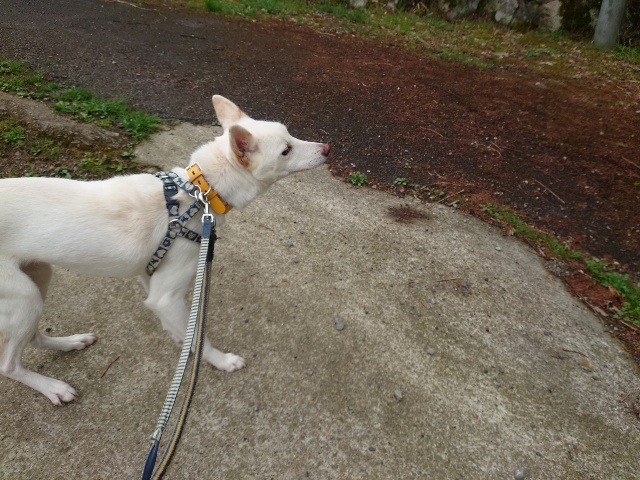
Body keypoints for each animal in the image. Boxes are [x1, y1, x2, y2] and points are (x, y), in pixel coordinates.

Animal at [0, 95, 330, 405]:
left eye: (291, 135)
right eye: (286, 150)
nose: (326, 148)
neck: (197, 194)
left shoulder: (152, 279)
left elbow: (180, 330)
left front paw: (182, 343)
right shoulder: (166, 297)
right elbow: (196, 334)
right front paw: (220, 361)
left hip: (39, 275)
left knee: (32, 338)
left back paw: (70, 343)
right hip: (24, 297)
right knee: (9, 365)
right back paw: (52, 387)